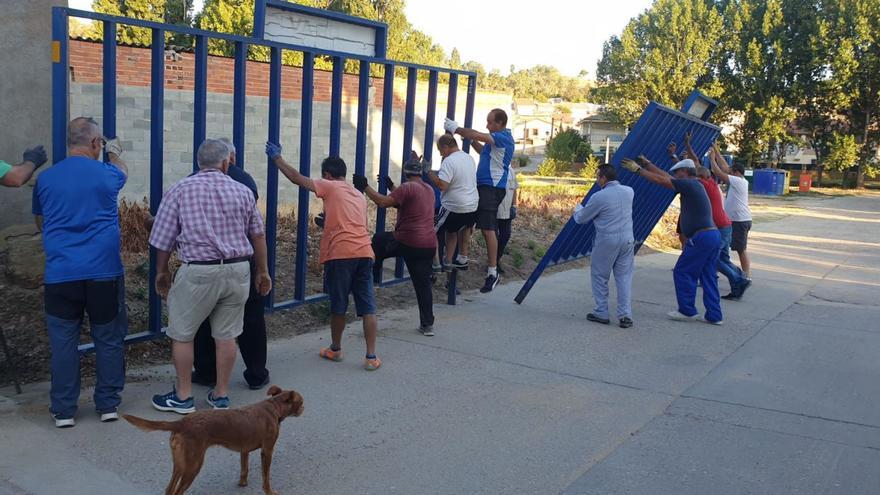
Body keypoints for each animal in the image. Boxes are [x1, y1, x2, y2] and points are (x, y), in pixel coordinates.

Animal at [124, 388, 302, 495]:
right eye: (301, 402)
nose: (303, 408)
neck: (273, 407)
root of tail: (182, 422)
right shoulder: (267, 451)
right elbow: (266, 477)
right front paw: (269, 492)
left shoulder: (244, 450)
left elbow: (244, 469)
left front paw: (242, 483)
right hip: (193, 465)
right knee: (178, 491)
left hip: (180, 464)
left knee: (169, 489)